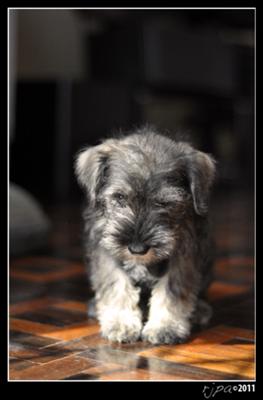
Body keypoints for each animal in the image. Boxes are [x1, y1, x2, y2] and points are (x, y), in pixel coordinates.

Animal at [75, 127, 217, 344]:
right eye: (119, 197)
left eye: (164, 203)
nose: (137, 249)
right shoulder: (106, 252)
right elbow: (117, 285)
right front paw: (120, 323)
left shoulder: (183, 255)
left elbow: (172, 290)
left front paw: (165, 327)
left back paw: (200, 310)